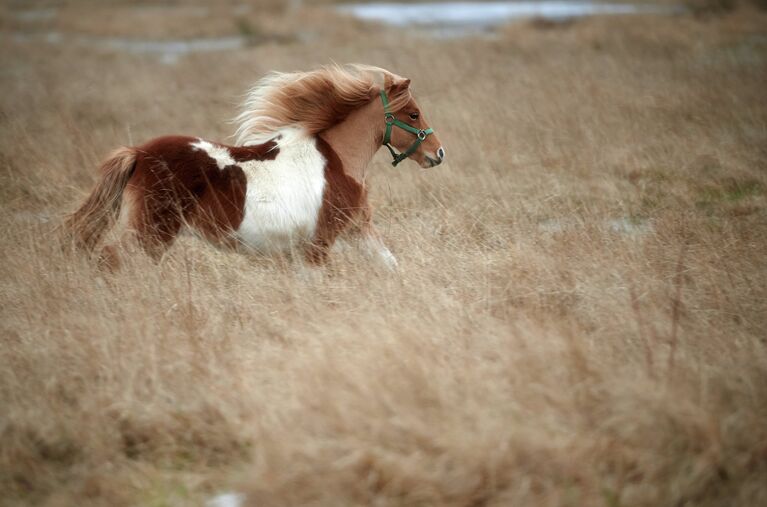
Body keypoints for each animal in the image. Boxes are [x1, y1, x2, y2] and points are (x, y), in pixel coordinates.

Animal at [70, 64, 450, 270]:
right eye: (413, 113)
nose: (438, 152)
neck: (339, 162)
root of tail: (138, 153)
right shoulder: (319, 245)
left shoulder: (356, 230)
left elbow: (390, 265)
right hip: (152, 231)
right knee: (112, 258)